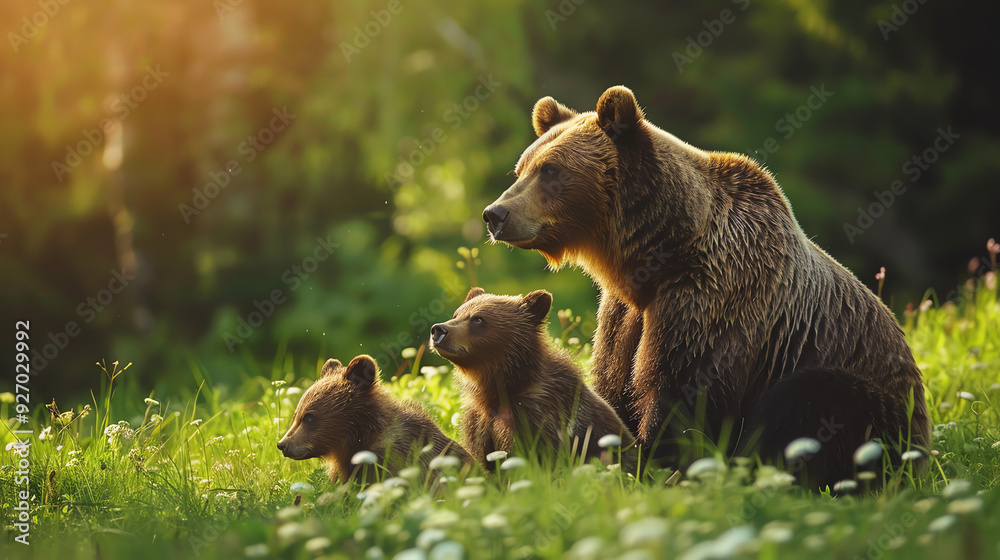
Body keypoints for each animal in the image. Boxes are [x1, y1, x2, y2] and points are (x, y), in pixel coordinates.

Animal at [481, 85, 930, 489]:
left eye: (551, 170)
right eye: (522, 168)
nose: (495, 214)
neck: (657, 256)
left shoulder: (713, 295)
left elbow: (682, 390)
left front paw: (655, 464)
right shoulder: (624, 312)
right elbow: (612, 382)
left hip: (876, 406)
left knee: (813, 398)